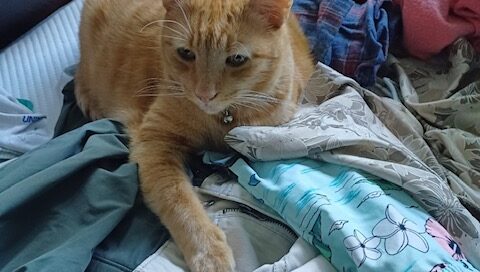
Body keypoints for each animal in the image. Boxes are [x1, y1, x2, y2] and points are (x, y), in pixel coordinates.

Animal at [75, 0, 314, 270]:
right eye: (186, 53)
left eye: (237, 59)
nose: (204, 94)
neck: (222, 119)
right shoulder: (153, 142)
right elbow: (179, 200)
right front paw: (209, 252)